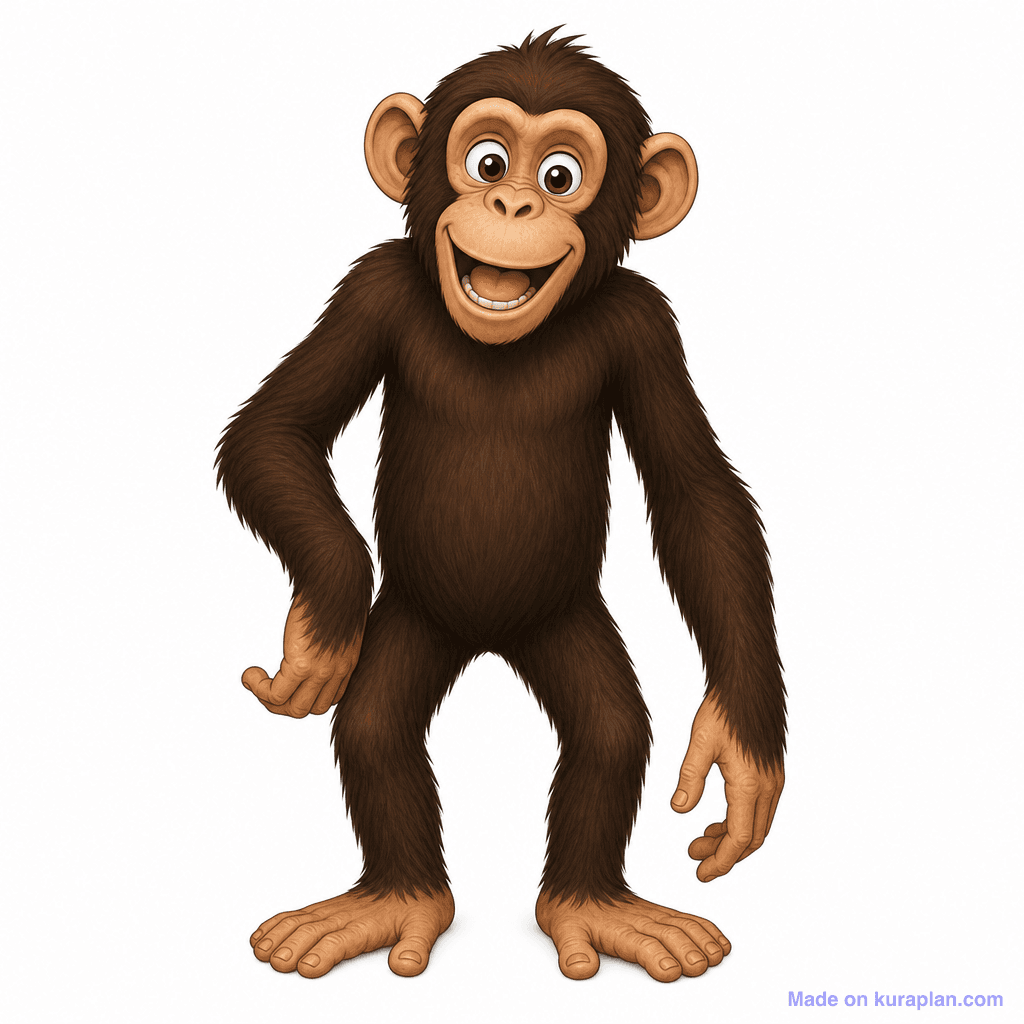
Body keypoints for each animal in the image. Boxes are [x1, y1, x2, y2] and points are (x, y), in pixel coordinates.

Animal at [216, 29, 785, 983]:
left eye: (560, 174)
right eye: (486, 159)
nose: (513, 202)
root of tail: (487, 636)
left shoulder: (646, 326)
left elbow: (695, 495)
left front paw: (740, 753)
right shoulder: (372, 285)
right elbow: (276, 431)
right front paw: (322, 625)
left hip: (564, 620)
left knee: (609, 734)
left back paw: (592, 907)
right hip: (416, 618)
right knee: (374, 729)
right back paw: (394, 901)